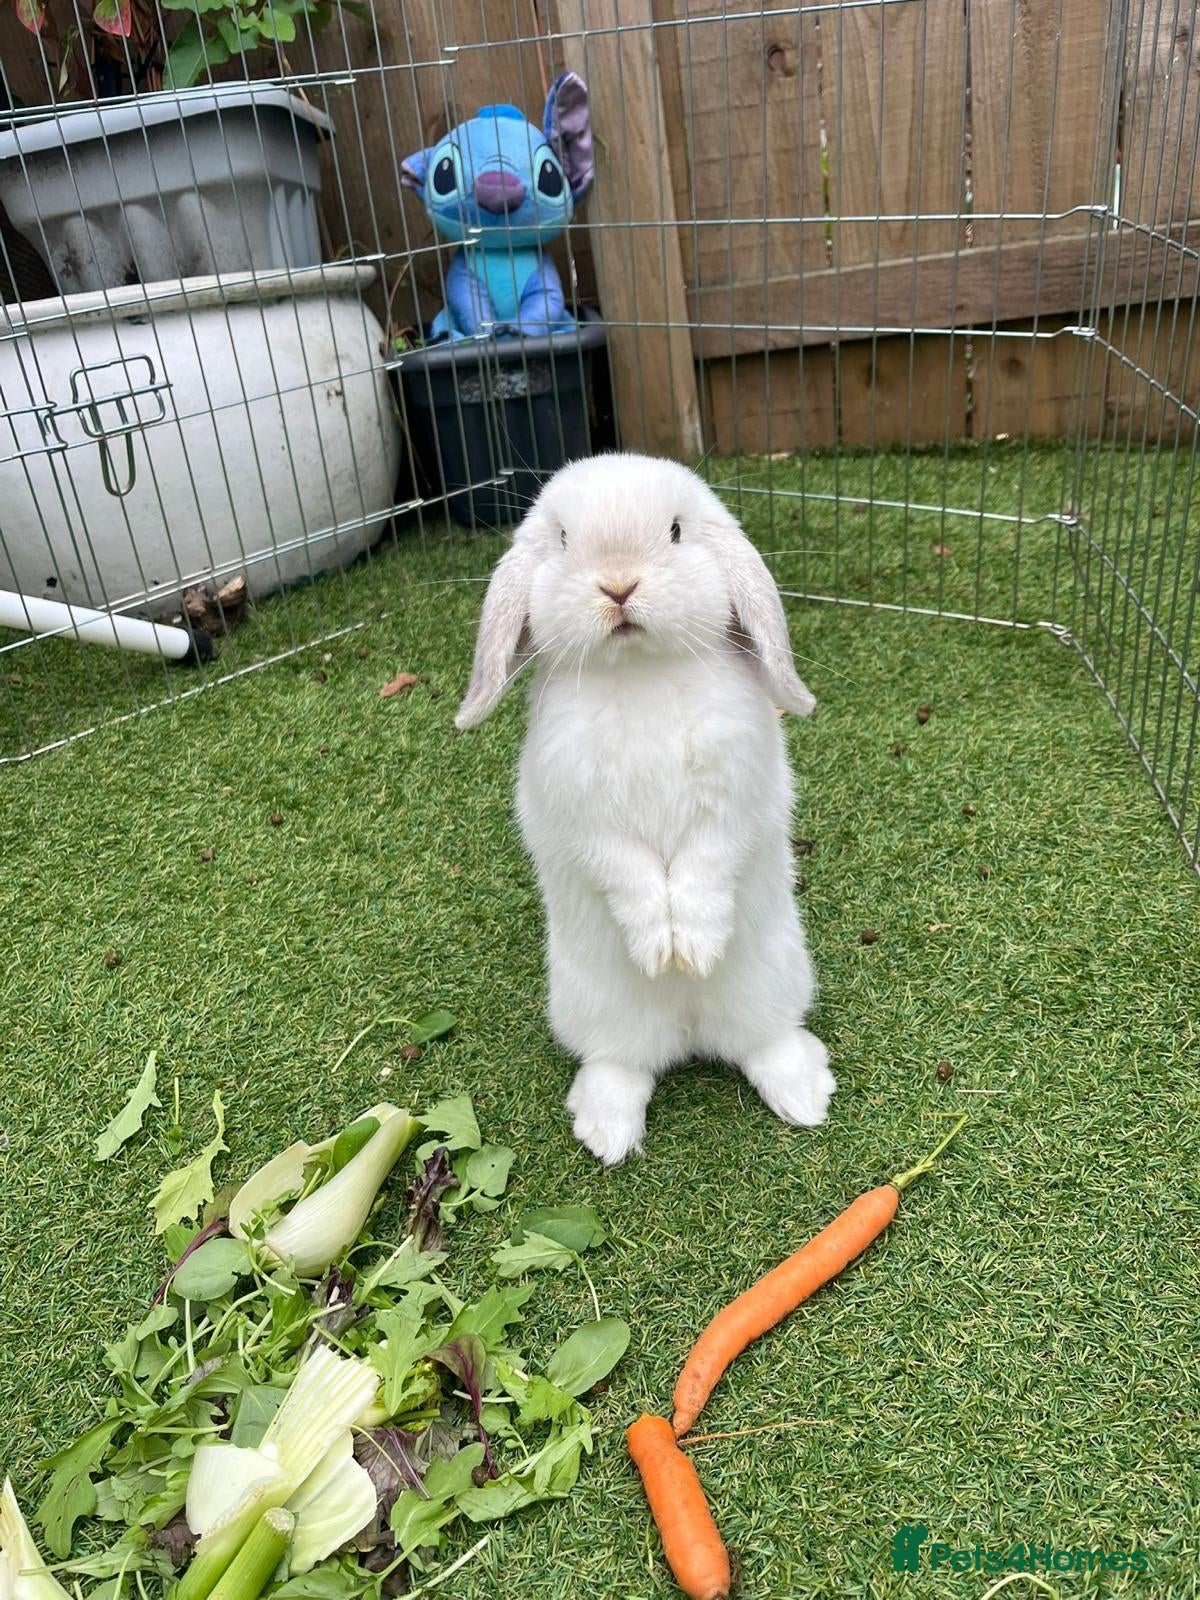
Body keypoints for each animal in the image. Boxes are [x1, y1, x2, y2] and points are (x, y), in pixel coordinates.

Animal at [455, 452, 835, 1164]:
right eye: (564, 540)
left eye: (677, 531)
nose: (618, 586)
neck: (640, 670)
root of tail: (688, 1031)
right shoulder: (582, 815)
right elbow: (625, 870)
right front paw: (661, 948)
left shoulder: (735, 794)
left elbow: (707, 864)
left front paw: (695, 945)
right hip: (596, 1008)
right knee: (622, 1064)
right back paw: (606, 1131)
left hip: (772, 982)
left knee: (765, 1044)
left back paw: (805, 1097)